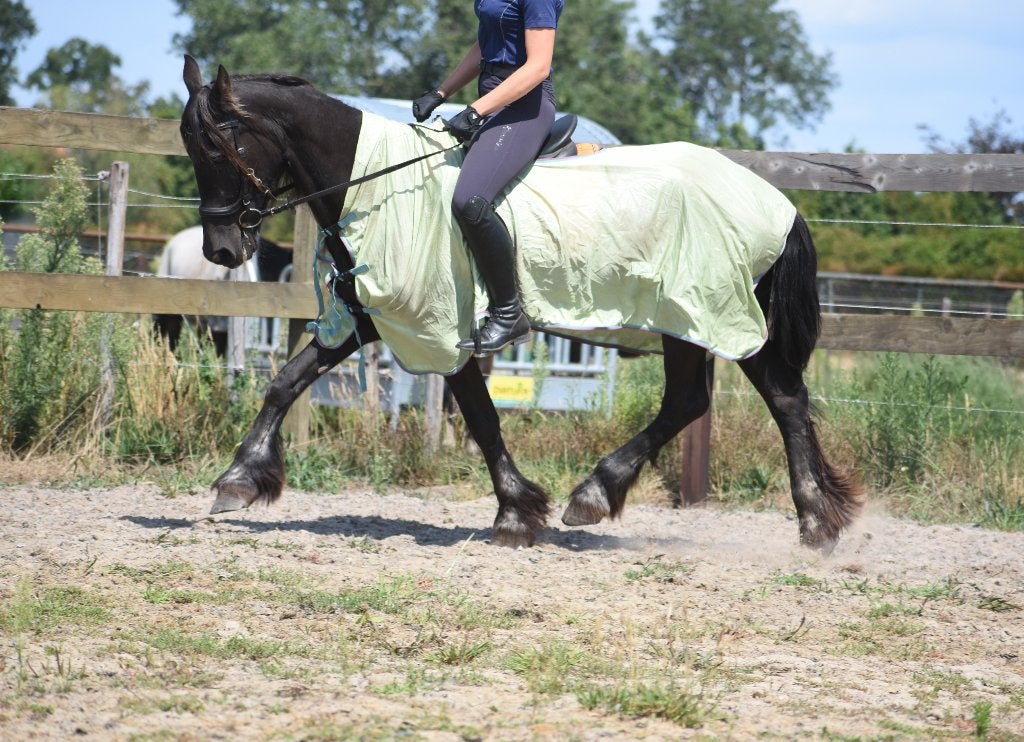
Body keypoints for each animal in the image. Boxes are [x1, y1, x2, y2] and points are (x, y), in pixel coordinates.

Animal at [179, 56, 864, 552]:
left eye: (215, 147)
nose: (219, 248)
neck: (379, 187)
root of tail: (772, 197)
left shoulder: (443, 329)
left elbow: (481, 419)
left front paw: (514, 512)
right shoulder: (372, 319)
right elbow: (286, 381)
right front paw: (238, 480)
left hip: (710, 311)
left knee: (759, 398)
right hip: (692, 317)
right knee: (718, 399)